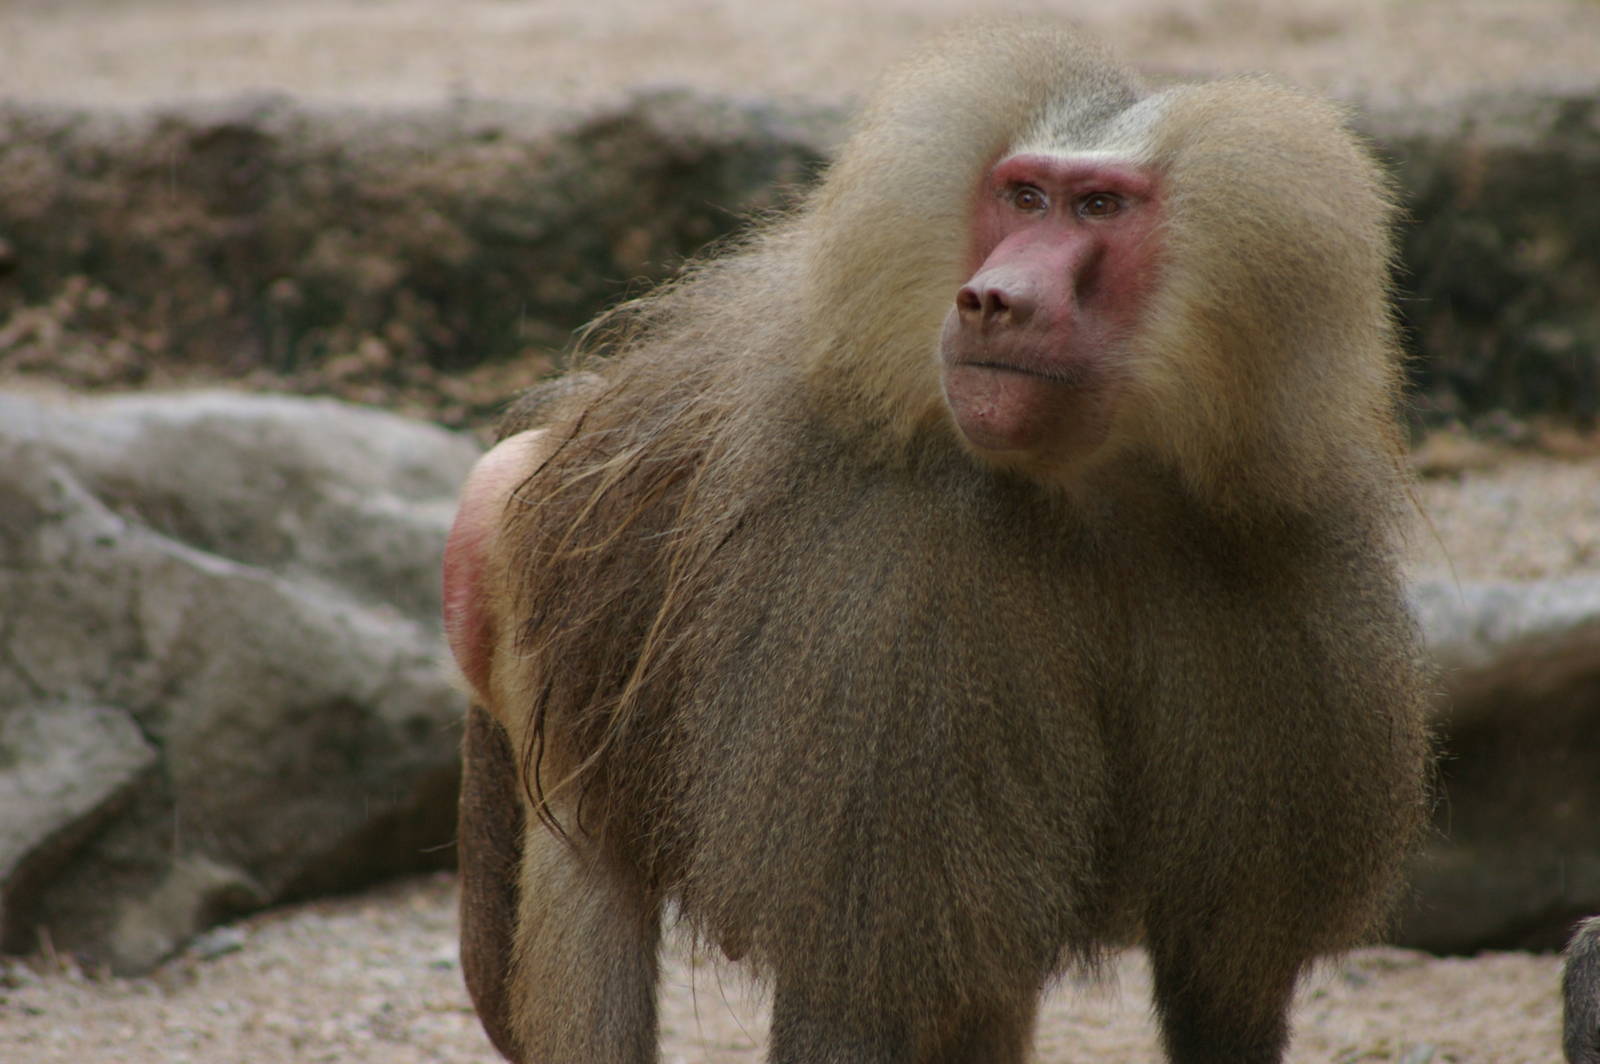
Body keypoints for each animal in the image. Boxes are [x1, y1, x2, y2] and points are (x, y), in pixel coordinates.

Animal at [443, 24, 1431, 1064]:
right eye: (1025, 196)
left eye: (1101, 206)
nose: (994, 299)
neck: (1091, 491)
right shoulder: (882, 594)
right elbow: (849, 990)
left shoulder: (1284, 571)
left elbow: (1223, 984)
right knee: (590, 883)